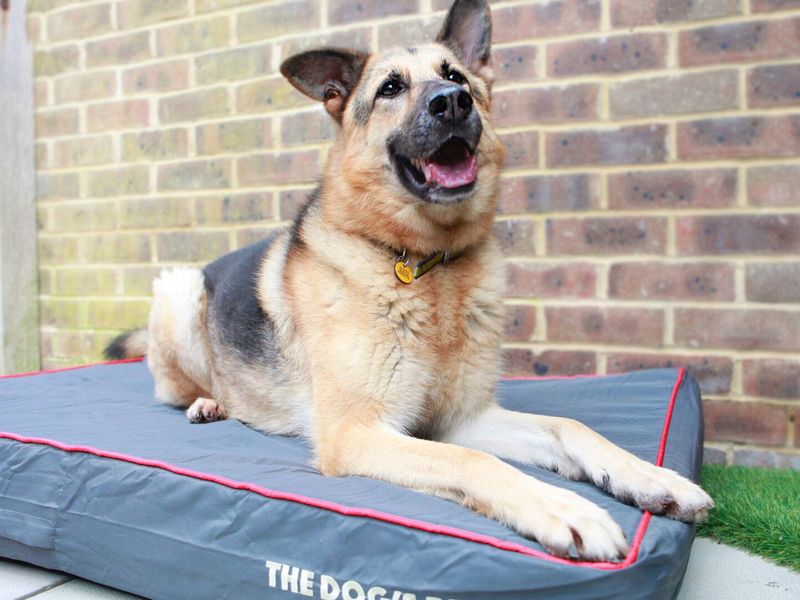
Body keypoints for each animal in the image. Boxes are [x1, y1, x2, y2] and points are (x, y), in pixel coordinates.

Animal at [108, 0, 712, 564]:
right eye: (391, 88)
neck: (428, 264)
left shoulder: (463, 419)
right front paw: (565, 509)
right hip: (180, 290)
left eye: (457, 77)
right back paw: (208, 403)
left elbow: (570, 426)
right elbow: (474, 459)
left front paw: (651, 478)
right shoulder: (359, 434)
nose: (452, 103)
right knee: (181, 388)